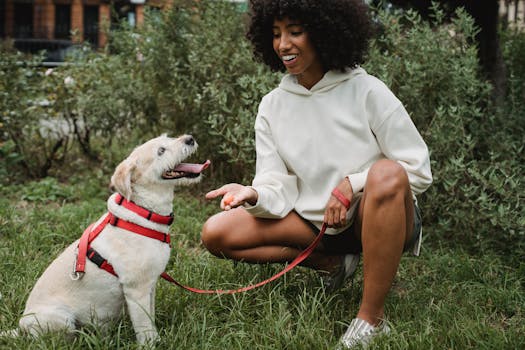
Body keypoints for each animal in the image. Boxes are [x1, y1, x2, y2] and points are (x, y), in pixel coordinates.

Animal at [4, 134, 209, 344]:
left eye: (169, 137)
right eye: (161, 151)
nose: (190, 138)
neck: (144, 212)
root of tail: (20, 330)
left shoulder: (150, 286)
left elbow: (151, 320)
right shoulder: (137, 291)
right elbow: (145, 329)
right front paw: (151, 345)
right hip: (61, 319)